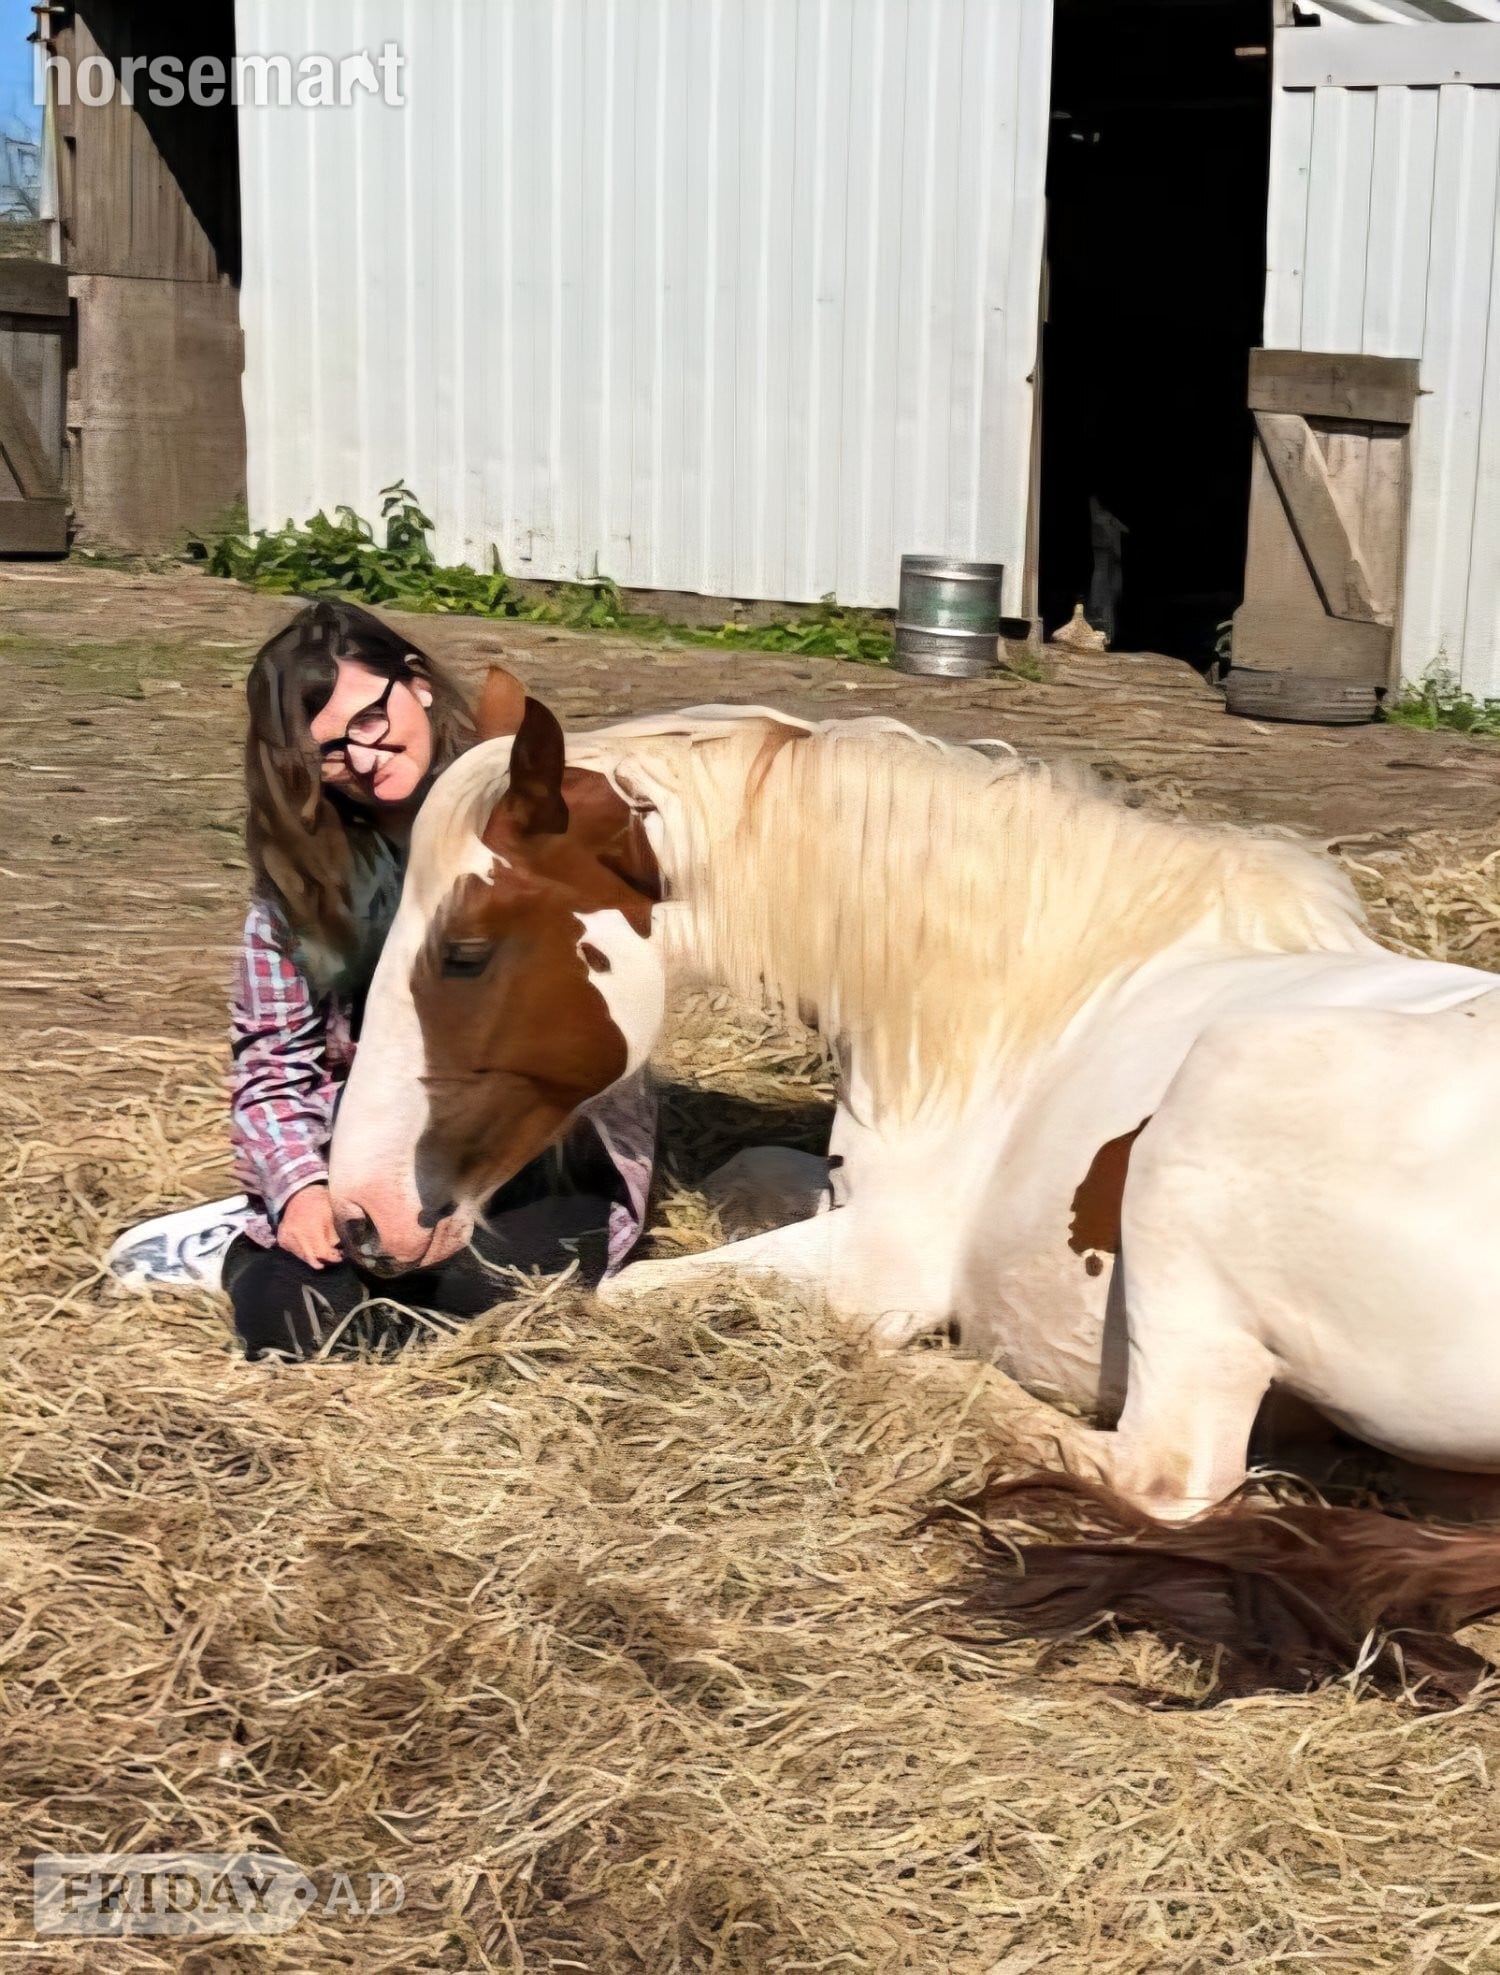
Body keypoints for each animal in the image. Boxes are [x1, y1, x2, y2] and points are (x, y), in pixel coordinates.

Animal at [328, 670, 1500, 1688]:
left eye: (467, 951)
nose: (361, 1215)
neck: (1044, 993)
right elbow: (753, 1169)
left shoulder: (884, 1257)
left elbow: (626, 1292)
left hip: (1223, 1107)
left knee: (1166, 1478)